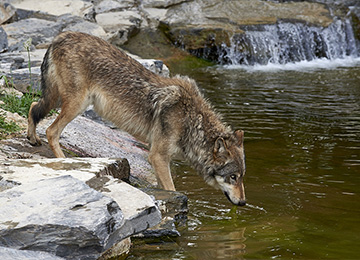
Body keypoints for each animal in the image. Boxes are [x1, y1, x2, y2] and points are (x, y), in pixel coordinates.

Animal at [27, 31, 248, 205]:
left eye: (241, 177)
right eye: (233, 177)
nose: (244, 203)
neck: (193, 120)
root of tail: (60, 37)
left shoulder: (160, 159)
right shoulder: (158, 156)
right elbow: (172, 188)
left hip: (58, 99)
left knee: (32, 106)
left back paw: (32, 138)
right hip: (75, 105)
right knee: (51, 130)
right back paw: (64, 161)